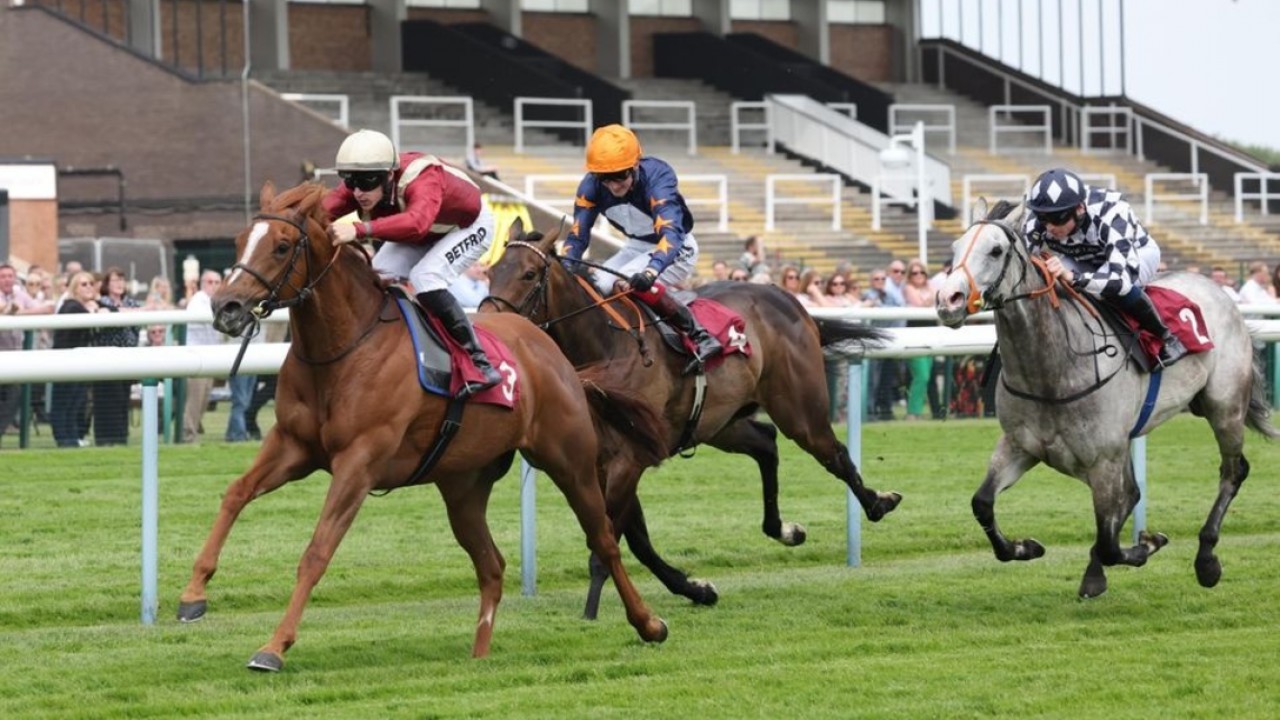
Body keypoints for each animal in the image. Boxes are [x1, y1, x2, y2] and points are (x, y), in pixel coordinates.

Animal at [177, 181, 670, 671]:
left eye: (281, 246)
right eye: (240, 241)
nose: (226, 307)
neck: (343, 347)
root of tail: (550, 348)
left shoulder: (359, 462)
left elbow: (317, 551)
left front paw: (274, 646)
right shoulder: (293, 445)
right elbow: (236, 494)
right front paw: (193, 595)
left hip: (570, 461)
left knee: (603, 540)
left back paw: (649, 623)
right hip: (464, 485)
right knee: (492, 565)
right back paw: (479, 656)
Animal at [483, 220, 906, 617]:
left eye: (528, 274)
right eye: (490, 271)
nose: (488, 324)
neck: (604, 349)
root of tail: (789, 299)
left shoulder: (629, 459)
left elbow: (610, 540)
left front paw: (594, 612)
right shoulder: (603, 462)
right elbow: (637, 539)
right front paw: (696, 590)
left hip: (800, 409)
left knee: (834, 453)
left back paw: (878, 503)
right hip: (719, 422)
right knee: (766, 442)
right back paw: (784, 530)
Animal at [936, 196, 1274, 594]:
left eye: (995, 250)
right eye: (955, 248)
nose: (949, 299)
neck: (1051, 370)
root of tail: (1220, 290)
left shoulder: (1103, 459)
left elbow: (1112, 542)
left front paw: (1146, 546)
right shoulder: (1021, 445)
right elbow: (983, 503)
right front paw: (1026, 547)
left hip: (1224, 405)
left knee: (1233, 470)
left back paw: (1206, 559)